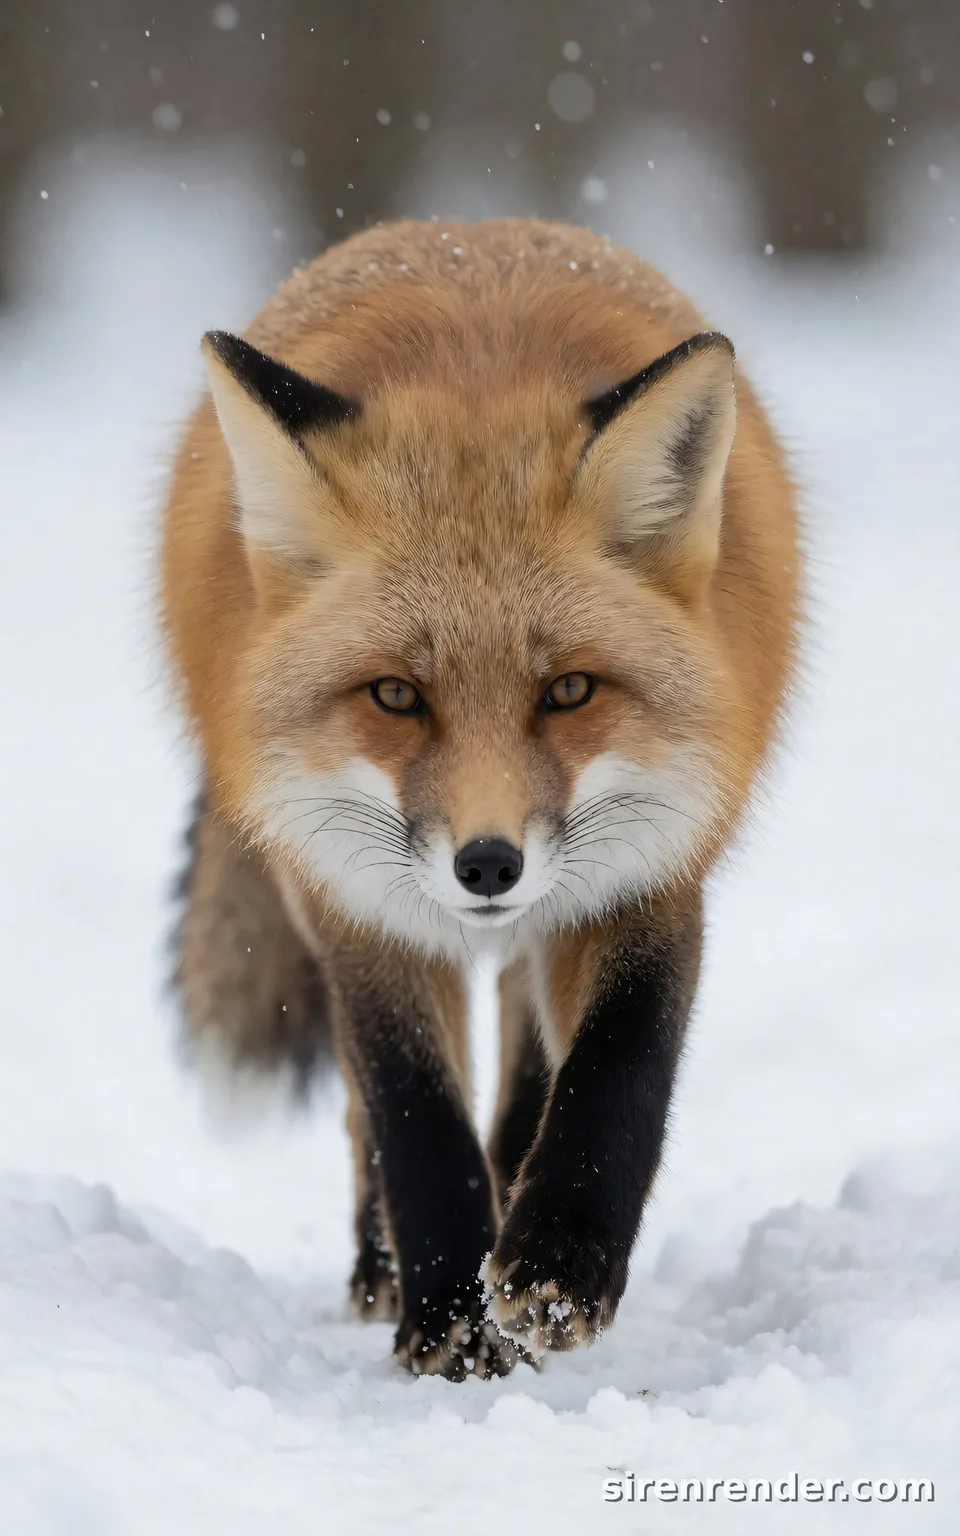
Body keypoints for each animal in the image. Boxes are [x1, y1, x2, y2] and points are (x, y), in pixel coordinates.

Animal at [163, 217, 800, 1380]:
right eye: (396, 696)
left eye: (570, 691)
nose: (489, 866)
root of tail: (465, 227)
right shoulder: (358, 907)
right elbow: (412, 1115)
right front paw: (451, 1321)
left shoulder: (653, 870)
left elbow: (620, 1068)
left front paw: (555, 1267)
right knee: (371, 1117)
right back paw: (384, 1266)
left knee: (528, 1062)